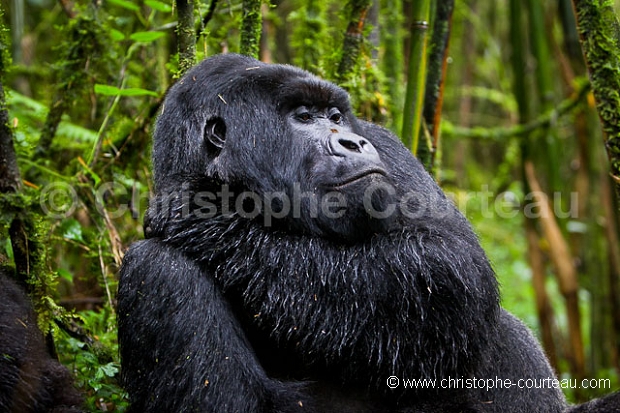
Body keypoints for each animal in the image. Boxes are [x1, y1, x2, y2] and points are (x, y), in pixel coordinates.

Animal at [117, 53, 620, 410]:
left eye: (335, 116)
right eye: (303, 116)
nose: (352, 141)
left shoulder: (388, 145)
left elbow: (448, 263)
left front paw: (211, 220)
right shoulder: (154, 273)